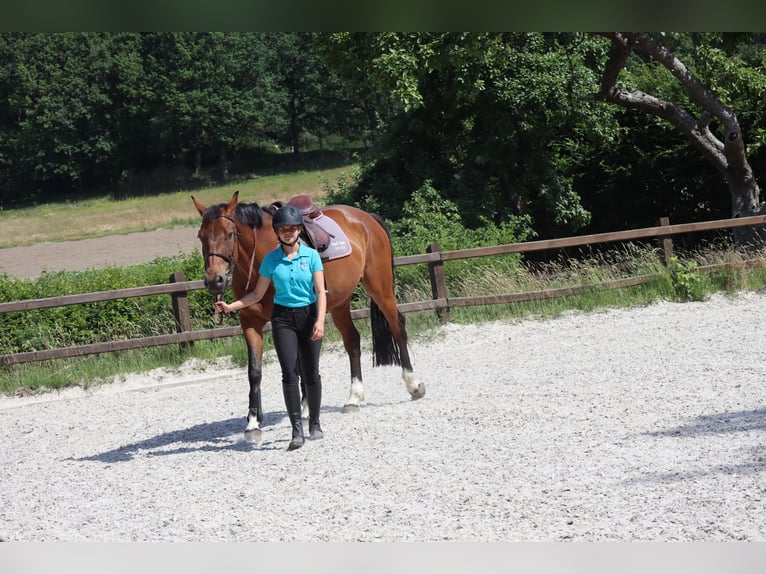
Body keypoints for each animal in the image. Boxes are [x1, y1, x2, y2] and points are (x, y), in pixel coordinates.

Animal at [194, 191, 426, 444]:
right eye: (200, 236)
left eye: (229, 233)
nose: (214, 280)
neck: (260, 262)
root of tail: (366, 218)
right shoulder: (251, 323)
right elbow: (255, 372)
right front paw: (253, 423)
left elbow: (299, 365)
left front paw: (301, 410)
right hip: (340, 303)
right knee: (352, 341)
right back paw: (353, 397)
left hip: (380, 288)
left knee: (397, 328)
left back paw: (414, 384)